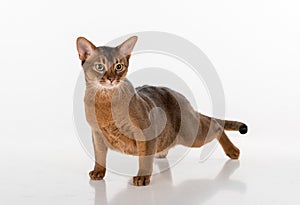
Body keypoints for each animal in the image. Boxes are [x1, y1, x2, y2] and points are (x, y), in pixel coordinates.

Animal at [76, 35, 247, 186]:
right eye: (100, 67)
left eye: (119, 66)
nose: (112, 79)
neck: (104, 101)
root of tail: (180, 96)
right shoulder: (97, 133)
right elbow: (99, 155)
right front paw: (98, 172)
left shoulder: (144, 131)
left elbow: (144, 158)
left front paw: (142, 176)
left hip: (192, 135)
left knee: (216, 125)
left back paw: (232, 151)